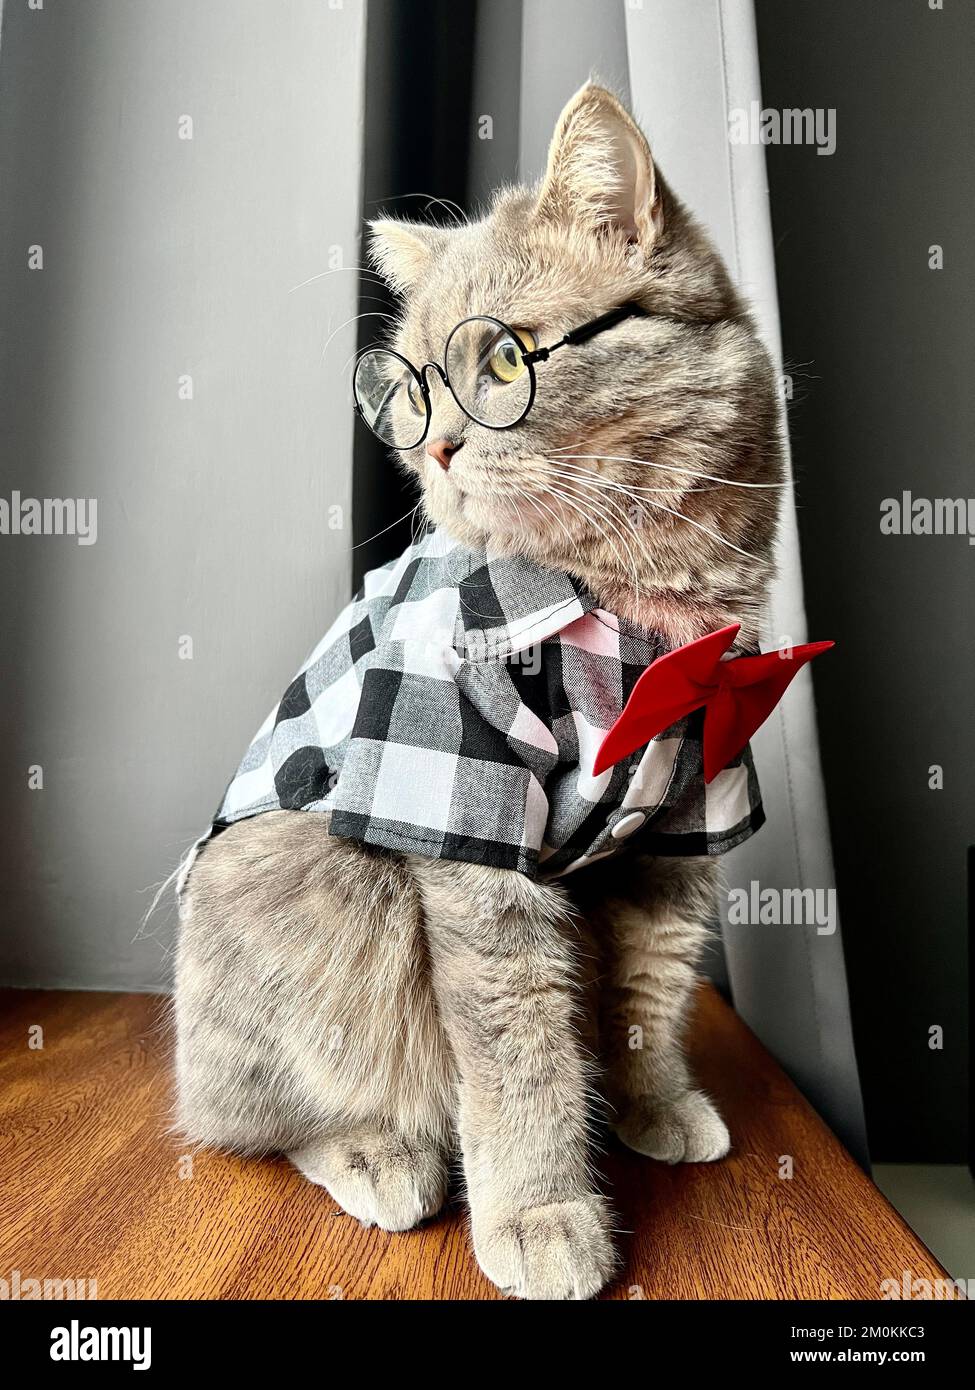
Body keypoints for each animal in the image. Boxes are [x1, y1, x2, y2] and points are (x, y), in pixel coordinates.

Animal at [175, 84, 784, 1301]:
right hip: (318, 883)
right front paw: (542, 1212)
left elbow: (649, 994)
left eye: (504, 360)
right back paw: (379, 1155)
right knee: (258, 1122)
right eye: (410, 386)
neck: (636, 605)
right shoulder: (468, 824)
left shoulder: (686, 817)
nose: (440, 447)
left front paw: (653, 1107)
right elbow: (518, 1051)